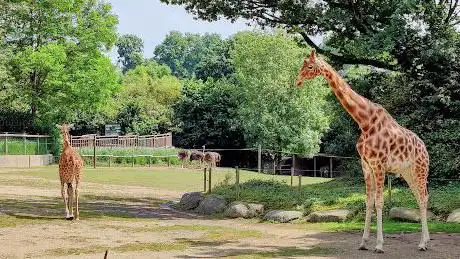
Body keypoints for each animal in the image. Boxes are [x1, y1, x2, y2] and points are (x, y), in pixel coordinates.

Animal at [296, 49, 430, 253]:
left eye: (310, 66)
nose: (297, 81)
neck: (364, 122)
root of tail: (425, 148)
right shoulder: (366, 165)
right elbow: (368, 202)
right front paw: (363, 242)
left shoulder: (379, 165)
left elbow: (380, 202)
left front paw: (379, 245)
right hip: (408, 173)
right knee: (420, 197)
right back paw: (425, 241)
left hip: (420, 170)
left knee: (423, 198)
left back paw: (422, 244)